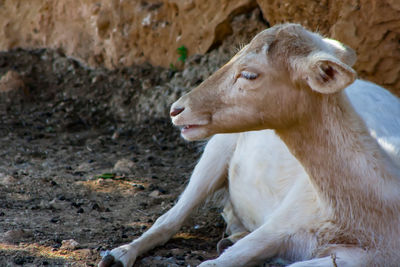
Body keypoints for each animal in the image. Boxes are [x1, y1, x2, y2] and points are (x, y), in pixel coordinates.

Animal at [99, 24, 400, 266]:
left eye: (250, 75)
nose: (177, 109)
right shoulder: (282, 220)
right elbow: (212, 263)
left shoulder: (363, 259)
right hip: (216, 148)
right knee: (171, 217)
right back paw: (117, 254)